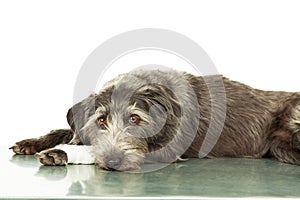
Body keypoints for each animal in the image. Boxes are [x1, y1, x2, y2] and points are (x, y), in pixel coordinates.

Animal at [9, 70, 300, 170]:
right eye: (101, 121)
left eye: (135, 119)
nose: (114, 162)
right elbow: (64, 130)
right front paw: (32, 142)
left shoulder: (167, 150)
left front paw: (59, 153)